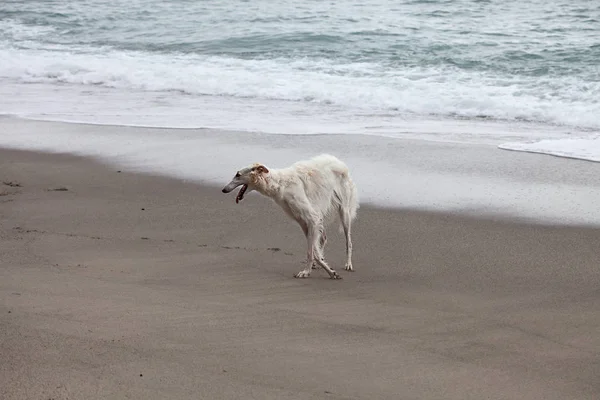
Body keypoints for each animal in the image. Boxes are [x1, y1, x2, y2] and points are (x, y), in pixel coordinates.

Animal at [223, 155, 358, 280]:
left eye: (238, 174)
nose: (223, 190)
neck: (281, 184)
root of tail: (339, 162)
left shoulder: (311, 218)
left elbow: (311, 252)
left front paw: (312, 272)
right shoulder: (303, 221)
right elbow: (314, 252)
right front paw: (323, 269)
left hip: (344, 212)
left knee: (349, 242)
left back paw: (348, 264)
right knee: (323, 238)